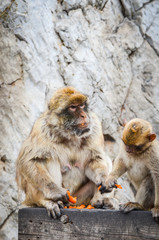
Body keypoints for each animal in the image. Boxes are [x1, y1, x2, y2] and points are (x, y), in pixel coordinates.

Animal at [15, 86, 114, 218]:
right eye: (73, 107)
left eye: (82, 105)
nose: (84, 115)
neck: (69, 134)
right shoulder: (41, 129)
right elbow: (29, 160)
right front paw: (54, 192)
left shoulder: (95, 126)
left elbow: (95, 158)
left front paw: (103, 179)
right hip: (37, 195)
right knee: (48, 159)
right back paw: (49, 202)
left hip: (79, 198)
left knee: (106, 159)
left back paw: (99, 201)